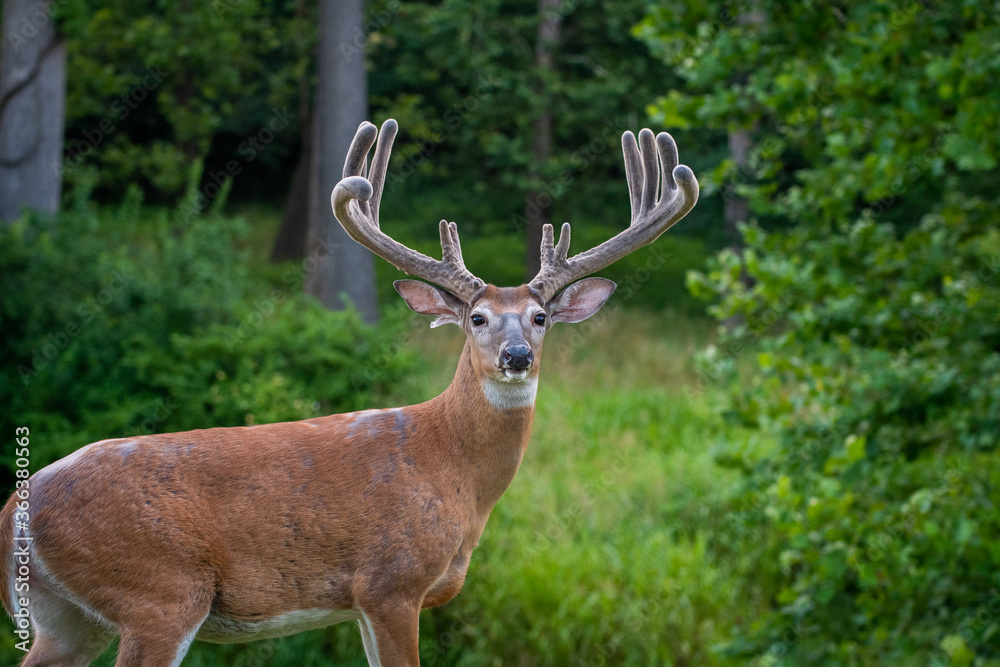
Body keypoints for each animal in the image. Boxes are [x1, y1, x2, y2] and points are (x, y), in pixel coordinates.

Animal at [1, 118, 698, 666]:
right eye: (476, 317)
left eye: (541, 317)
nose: (517, 357)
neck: (453, 470)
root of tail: (15, 511)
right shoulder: (389, 582)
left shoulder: (362, 603)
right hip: (161, 593)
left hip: (70, 620)